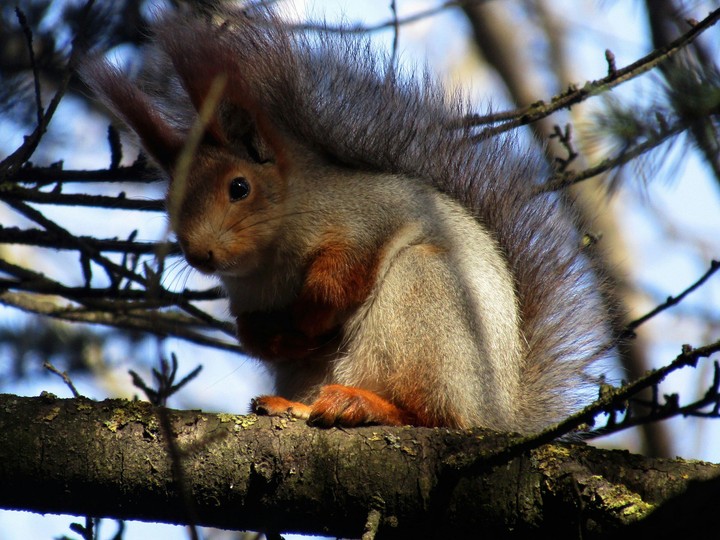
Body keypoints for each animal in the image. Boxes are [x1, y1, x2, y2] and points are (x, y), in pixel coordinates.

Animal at [81, 5, 612, 433]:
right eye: (170, 202)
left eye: (239, 187)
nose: (200, 254)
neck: (268, 263)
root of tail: (497, 416)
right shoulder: (246, 297)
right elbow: (250, 331)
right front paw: (274, 337)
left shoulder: (371, 216)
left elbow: (344, 271)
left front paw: (313, 312)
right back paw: (292, 405)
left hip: (428, 306)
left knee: (433, 416)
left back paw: (365, 405)